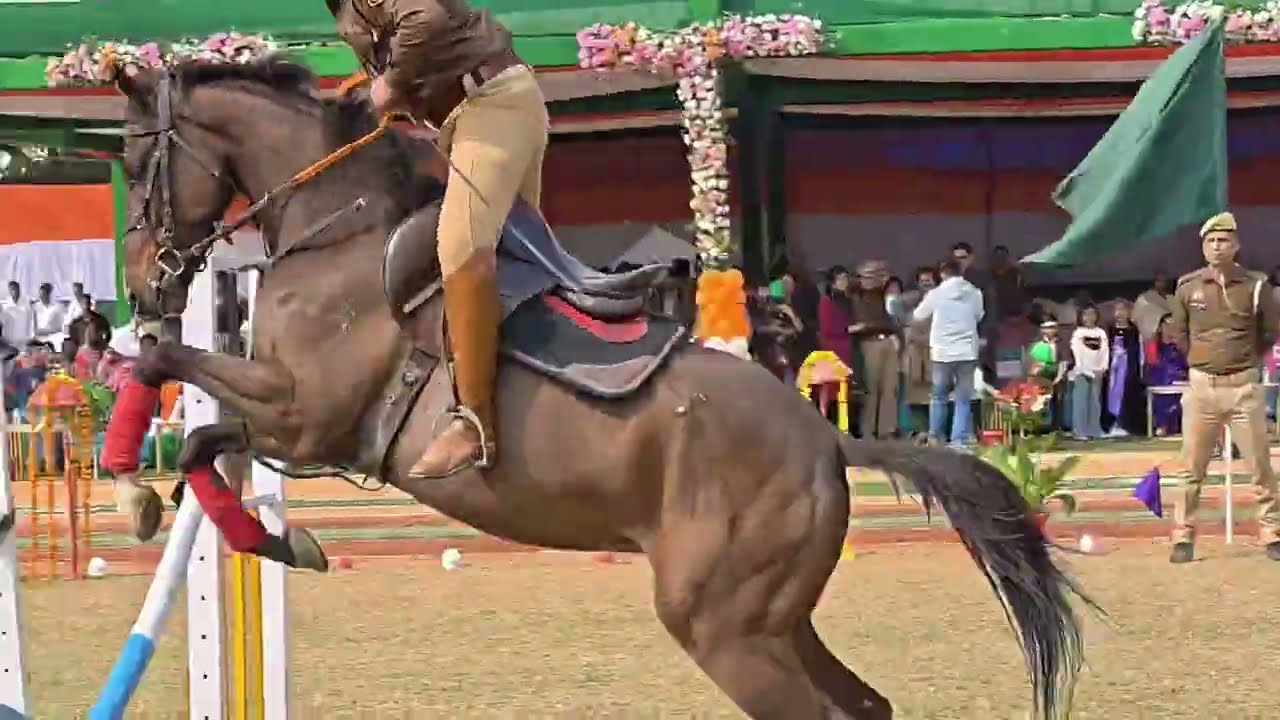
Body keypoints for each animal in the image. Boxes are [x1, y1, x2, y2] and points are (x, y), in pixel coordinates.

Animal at [110, 58, 1088, 719]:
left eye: (135, 159)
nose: (145, 284)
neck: (333, 229)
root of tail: (828, 441)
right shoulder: (283, 421)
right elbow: (203, 444)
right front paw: (258, 533)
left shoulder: (306, 416)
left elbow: (166, 373)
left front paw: (134, 489)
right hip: (772, 620)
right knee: (862, 705)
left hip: (723, 627)